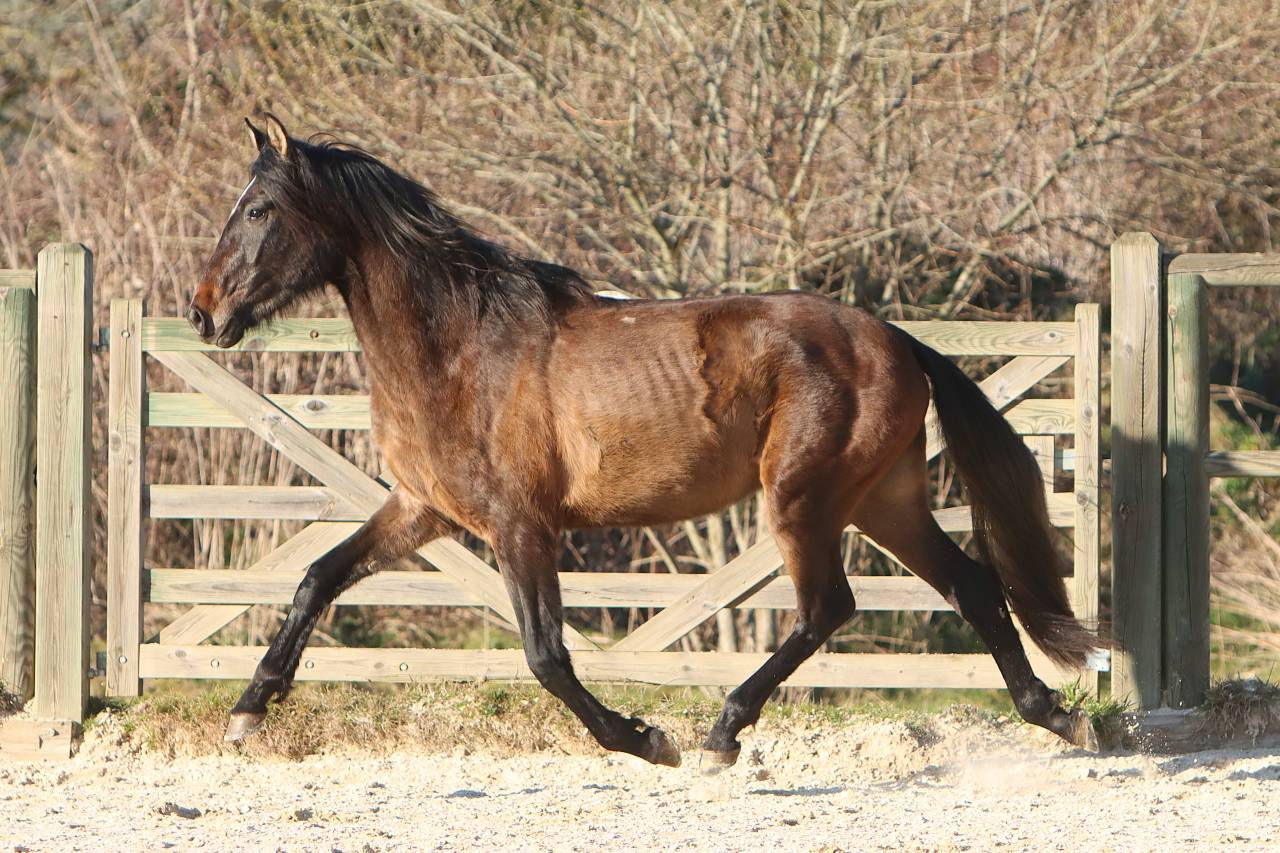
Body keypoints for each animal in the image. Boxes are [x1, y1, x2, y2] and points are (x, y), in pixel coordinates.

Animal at [189, 115, 1101, 769]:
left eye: (260, 210)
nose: (202, 312)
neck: (460, 346)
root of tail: (899, 340)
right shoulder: (422, 509)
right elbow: (315, 579)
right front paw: (245, 713)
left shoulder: (521, 526)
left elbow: (547, 656)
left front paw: (644, 739)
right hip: (885, 499)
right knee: (973, 587)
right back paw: (1060, 718)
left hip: (804, 498)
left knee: (827, 607)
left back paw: (722, 734)